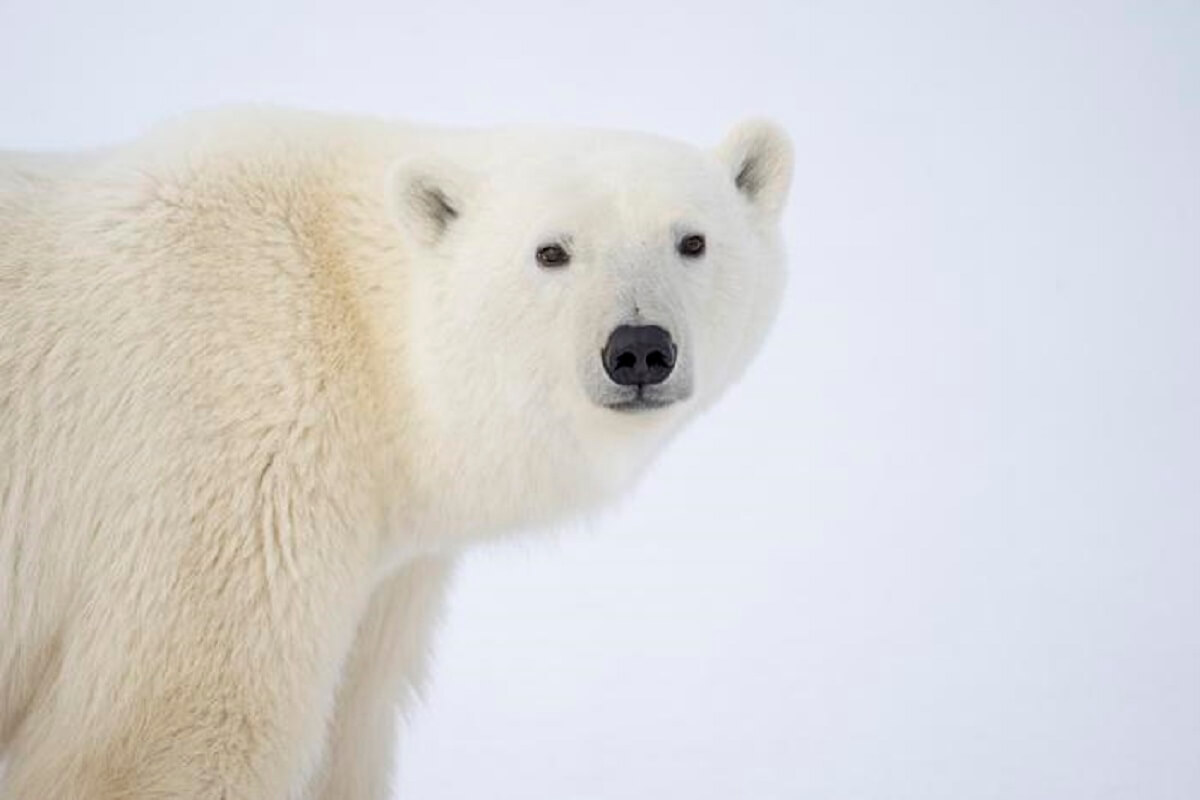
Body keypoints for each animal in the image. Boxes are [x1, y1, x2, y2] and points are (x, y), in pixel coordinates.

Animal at [0, 107, 792, 798]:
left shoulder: (383, 577)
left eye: (692, 241)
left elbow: (347, 730)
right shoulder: (231, 469)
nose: (638, 349)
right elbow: (176, 732)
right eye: (552, 251)